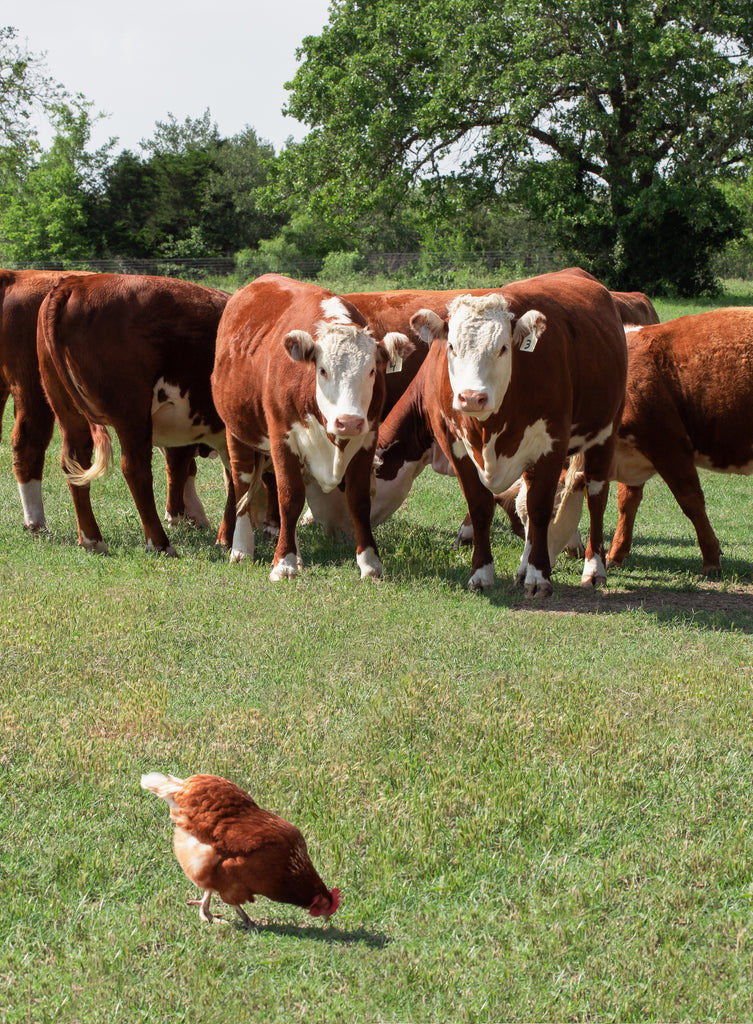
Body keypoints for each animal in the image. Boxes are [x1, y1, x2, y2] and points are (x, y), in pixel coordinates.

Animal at [37, 274, 232, 552]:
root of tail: (76, 282)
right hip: (132, 415)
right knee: (135, 470)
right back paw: (160, 543)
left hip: (69, 412)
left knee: (74, 463)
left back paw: (92, 540)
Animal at [211, 272, 411, 581]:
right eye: (323, 370)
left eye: (372, 371)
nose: (348, 421)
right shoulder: (283, 439)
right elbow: (290, 499)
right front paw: (284, 563)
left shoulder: (367, 439)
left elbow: (359, 501)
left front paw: (369, 563)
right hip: (236, 432)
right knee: (242, 485)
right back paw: (242, 548)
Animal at [370, 268, 631, 598]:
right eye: (451, 347)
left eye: (503, 348)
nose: (471, 397)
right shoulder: (456, 448)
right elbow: (482, 507)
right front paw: (481, 573)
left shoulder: (551, 446)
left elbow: (541, 508)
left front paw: (539, 576)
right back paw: (523, 568)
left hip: (604, 433)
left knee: (596, 495)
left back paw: (594, 568)